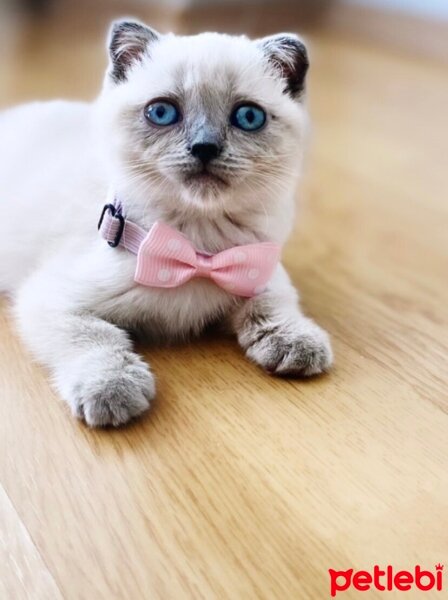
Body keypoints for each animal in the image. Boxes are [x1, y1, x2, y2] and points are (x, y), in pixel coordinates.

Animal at [0, 19, 332, 426]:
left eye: (248, 117)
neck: (197, 249)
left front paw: (296, 341)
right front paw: (112, 387)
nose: (204, 148)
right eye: (161, 112)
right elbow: (94, 337)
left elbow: (273, 302)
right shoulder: (52, 298)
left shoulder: (260, 266)